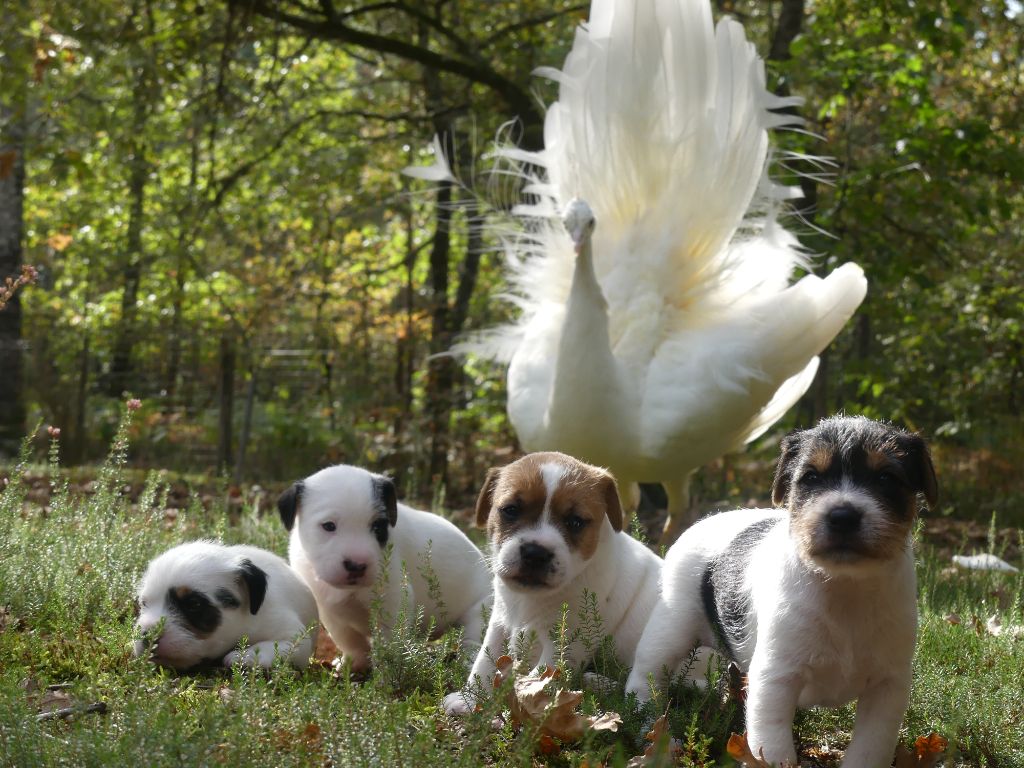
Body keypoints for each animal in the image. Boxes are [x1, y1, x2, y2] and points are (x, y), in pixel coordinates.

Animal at [136, 540, 317, 671]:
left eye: (194, 604)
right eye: (144, 603)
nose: (147, 635)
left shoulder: (295, 638)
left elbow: (271, 646)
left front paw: (246, 655)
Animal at [276, 462, 491, 671]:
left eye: (378, 527)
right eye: (329, 526)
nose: (357, 565)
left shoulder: (393, 603)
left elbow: (389, 645)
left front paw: (386, 672)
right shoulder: (331, 613)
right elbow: (349, 640)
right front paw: (354, 662)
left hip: (478, 615)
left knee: (474, 641)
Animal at [444, 450, 659, 716]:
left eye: (575, 522)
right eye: (511, 510)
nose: (535, 553)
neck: (529, 599)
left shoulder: (563, 643)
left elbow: (539, 680)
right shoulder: (500, 621)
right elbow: (484, 661)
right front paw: (470, 699)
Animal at [622, 417, 937, 765]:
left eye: (886, 478)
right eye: (811, 476)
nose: (842, 516)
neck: (844, 586)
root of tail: (702, 522)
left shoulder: (887, 687)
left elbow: (870, 747)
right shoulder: (776, 678)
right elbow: (773, 744)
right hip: (671, 628)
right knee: (646, 675)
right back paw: (650, 726)